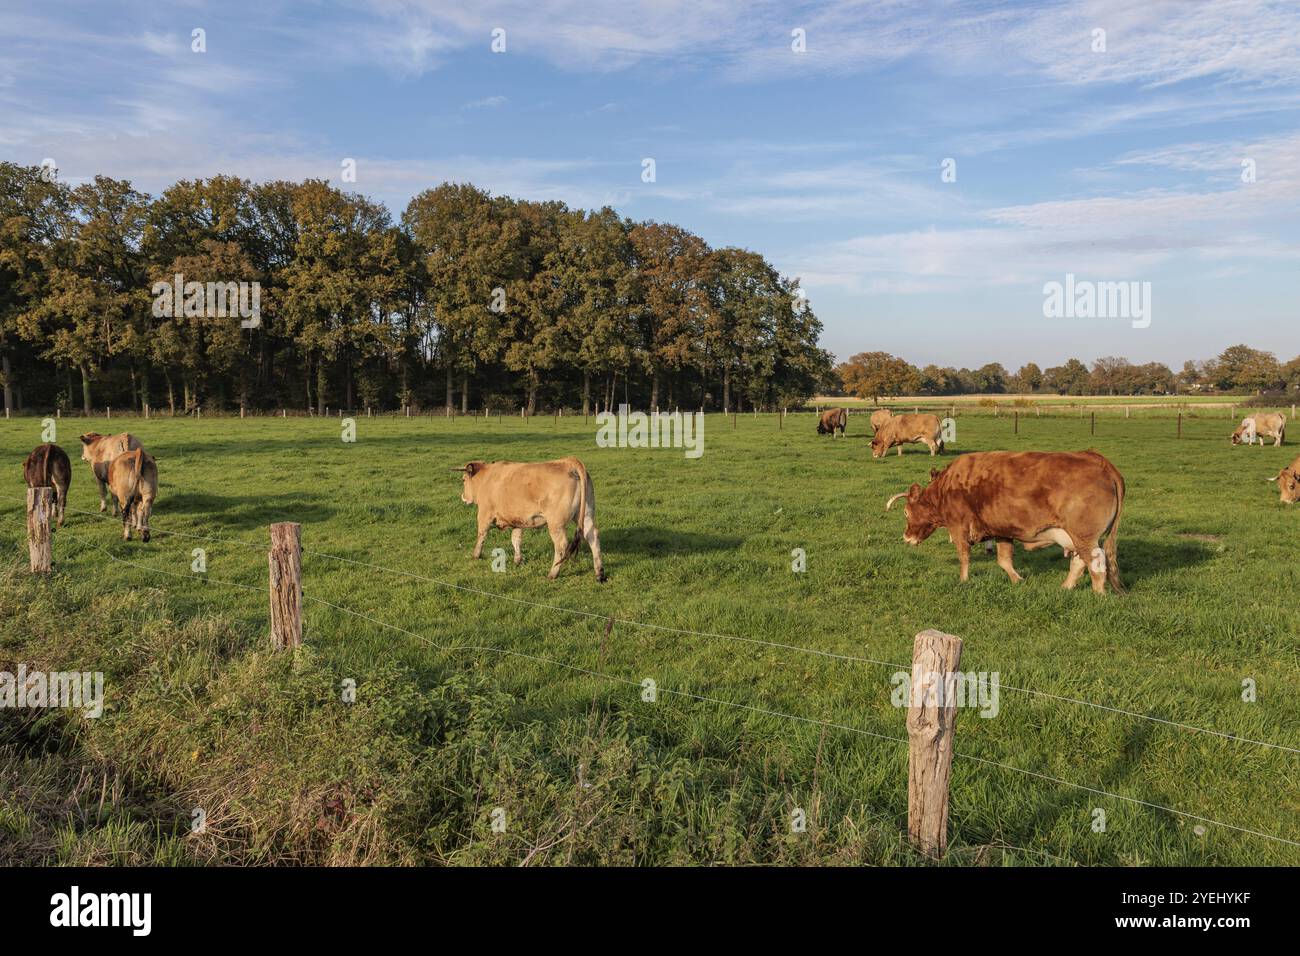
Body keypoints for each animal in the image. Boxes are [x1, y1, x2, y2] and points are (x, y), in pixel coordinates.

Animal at [452, 457, 603, 582]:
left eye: (463, 480)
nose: (463, 497)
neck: (486, 477)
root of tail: (569, 462)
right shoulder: (518, 520)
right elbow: (516, 539)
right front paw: (517, 560)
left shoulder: (484, 514)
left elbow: (481, 536)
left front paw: (475, 555)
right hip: (586, 515)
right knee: (593, 537)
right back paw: (599, 574)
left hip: (556, 523)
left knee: (561, 545)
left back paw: (552, 573)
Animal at [883, 447, 1128, 590]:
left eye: (906, 513)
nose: (906, 537)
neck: (946, 487)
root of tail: (1097, 459)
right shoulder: (1002, 531)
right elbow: (1003, 560)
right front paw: (1017, 580)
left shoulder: (959, 527)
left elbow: (964, 557)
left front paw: (963, 580)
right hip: (1076, 538)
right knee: (1079, 562)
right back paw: (1065, 587)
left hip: (1085, 537)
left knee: (1097, 565)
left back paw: (1098, 594)